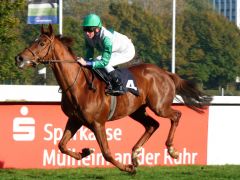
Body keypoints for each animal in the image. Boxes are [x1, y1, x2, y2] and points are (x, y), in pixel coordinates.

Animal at [15, 24, 211, 174]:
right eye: (33, 41)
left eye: (41, 43)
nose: (19, 58)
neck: (78, 85)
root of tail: (166, 73)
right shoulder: (75, 119)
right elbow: (61, 145)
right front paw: (85, 152)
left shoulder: (97, 123)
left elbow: (107, 153)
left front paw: (128, 168)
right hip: (137, 110)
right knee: (152, 125)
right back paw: (135, 153)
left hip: (160, 106)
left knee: (176, 116)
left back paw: (171, 150)